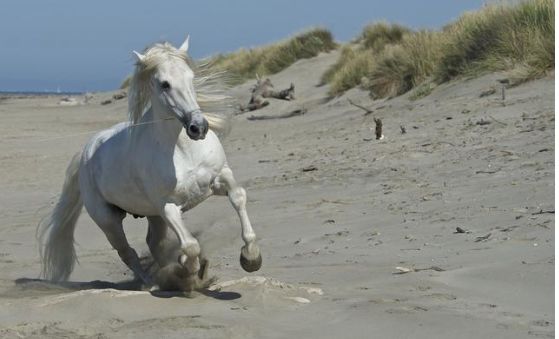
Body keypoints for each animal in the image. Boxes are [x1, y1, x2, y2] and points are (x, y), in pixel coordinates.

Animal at [39, 37, 262, 290]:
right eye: (164, 84)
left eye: (190, 77)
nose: (198, 128)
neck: (184, 151)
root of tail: (87, 151)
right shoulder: (167, 206)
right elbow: (191, 245)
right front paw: (191, 271)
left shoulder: (221, 176)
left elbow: (238, 197)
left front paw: (251, 258)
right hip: (109, 220)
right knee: (128, 252)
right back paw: (153, 283)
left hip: (152, 215)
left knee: (153, 243)